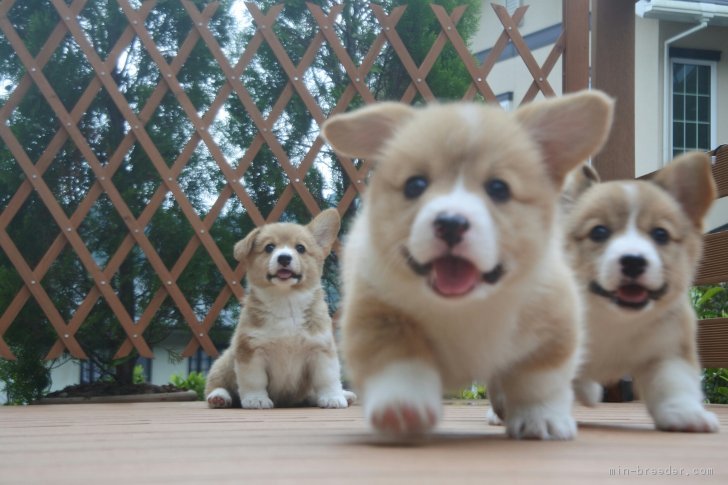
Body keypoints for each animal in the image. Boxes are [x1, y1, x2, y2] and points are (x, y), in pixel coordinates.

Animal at [205, 208, 356, 408]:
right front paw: (256, 400)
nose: (284, 258)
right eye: (269, 247)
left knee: (311, 393)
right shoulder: (251, 351)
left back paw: (344, 394)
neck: (286, 301)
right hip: (224, 362)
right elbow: (254, 380)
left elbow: (327, 378)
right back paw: (219, 397)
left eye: (300, 248)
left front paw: (333, 397)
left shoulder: (321, 349)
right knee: (217, 384)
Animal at [324, 91, 616, 438]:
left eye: (499, 188)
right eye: (415, 185)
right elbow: (400, 364)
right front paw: (402, 406)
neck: (464, 307)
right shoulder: (378, 317)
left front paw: (541, 418)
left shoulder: (554, 327)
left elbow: (539, 382)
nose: (450, 223)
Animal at [564, 152, 720, 432]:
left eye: (660, 234)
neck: (612, 319)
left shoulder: (667, 351)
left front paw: (685, 414)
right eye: (599, 232)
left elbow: (674, 384)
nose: (634, 261)